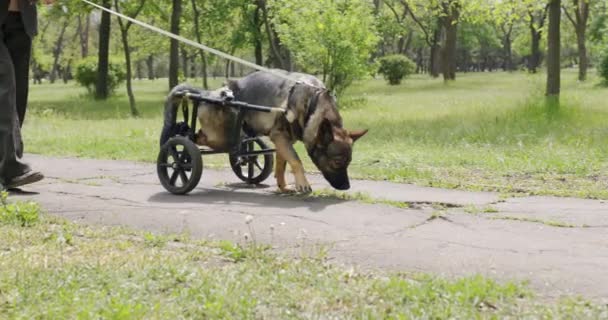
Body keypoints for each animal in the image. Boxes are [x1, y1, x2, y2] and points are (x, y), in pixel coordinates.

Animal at [162, 70, 368, 192]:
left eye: (349, 162)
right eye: (337, 162)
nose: (347, 186)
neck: (313, 104)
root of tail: (208, 94)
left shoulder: (283, 141)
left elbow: (282, 164)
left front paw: (283, 186)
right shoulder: (280, 137)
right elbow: (296, 161)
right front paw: (302, 183)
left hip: (234, 135)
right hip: (219, 137)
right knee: (193, 139)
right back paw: (180, 138)